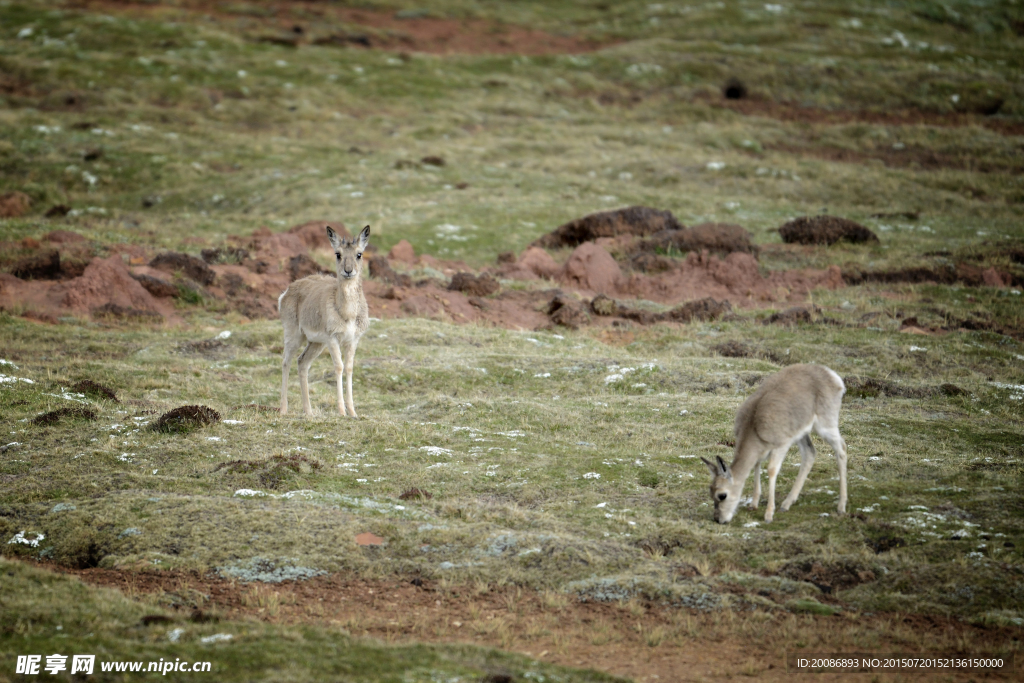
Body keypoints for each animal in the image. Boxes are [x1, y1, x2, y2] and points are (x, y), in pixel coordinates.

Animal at [278, 224, 370, 417]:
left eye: (359, 254)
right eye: (338, 253)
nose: (348, 271)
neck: (347, 313)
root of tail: (287, 291)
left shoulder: (353, 340)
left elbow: (349, 368)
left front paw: (353, 412)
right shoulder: (333, 339)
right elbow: (339, 367)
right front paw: (342, 411)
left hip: (316, 343)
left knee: (302, 362)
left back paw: (309, 412)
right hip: (294, 337)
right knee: (286, 362)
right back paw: (283, 409)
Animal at [696, 362, 847, 524]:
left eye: (722, 495)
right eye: (710, 492)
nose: (719, 519)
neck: (753, 426)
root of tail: (833, 376)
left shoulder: (781, 445)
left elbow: (771, 470)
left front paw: (768, 514)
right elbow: (756, 465)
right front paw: (753, 504)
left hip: (826, 424)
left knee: (842, 449)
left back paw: (841, 506)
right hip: (801, 433)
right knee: (810, 453)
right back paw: (786, 504)